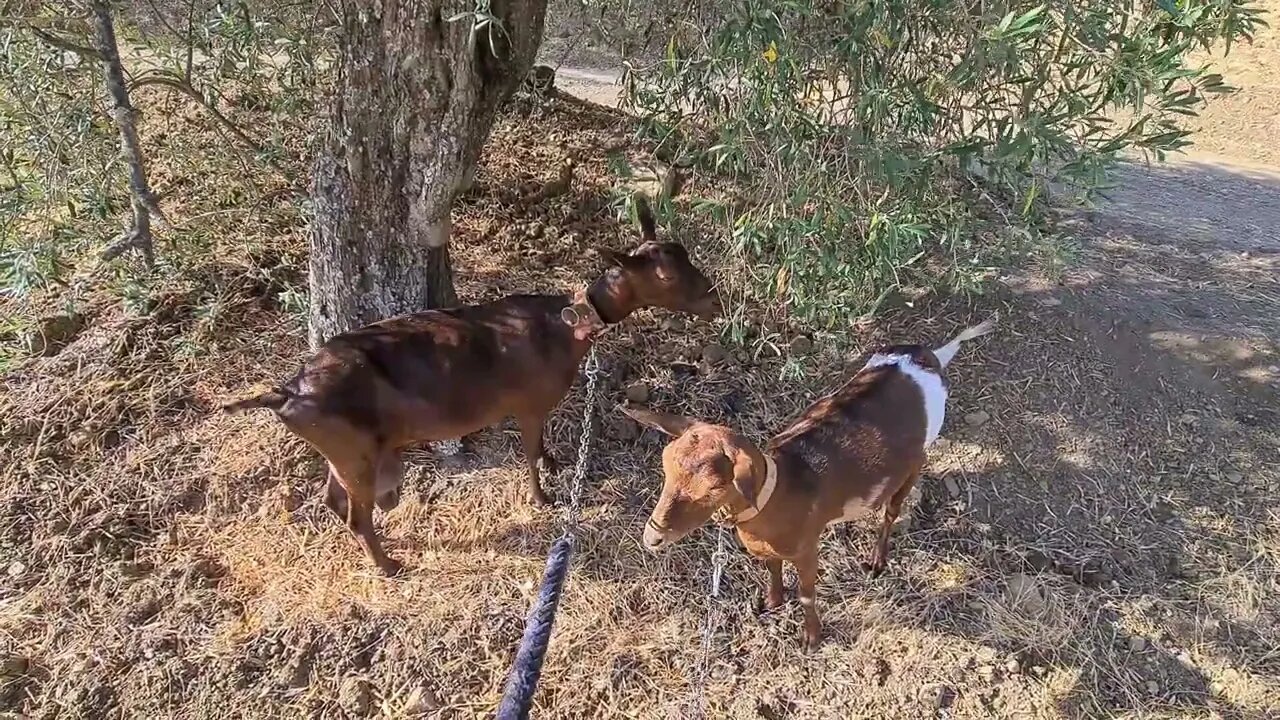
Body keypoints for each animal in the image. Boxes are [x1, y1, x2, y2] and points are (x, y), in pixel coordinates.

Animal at [223, 198, 719, 576]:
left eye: (686, 253)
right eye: (665, 275)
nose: (714, 300)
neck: (566, 327)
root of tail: (286, 393)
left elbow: (542, 448)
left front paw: (557, 464)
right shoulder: (528, 402)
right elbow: (528, 454)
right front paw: (542, 498)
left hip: (345, 450)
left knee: (333, 498)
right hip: (356, 453)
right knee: (356, 515)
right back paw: (388, 567)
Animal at [621, 317, 996, 650]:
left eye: (714, 487)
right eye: (666, 465)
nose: (652, 537)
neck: (780, 495)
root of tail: (927, 358)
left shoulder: (806, 549)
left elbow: (806, 593)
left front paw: (811, 638)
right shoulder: (767, 549)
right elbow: (772, 570)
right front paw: (769, 603)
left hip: (917, 459)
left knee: (892, 510)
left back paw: (876, 561)